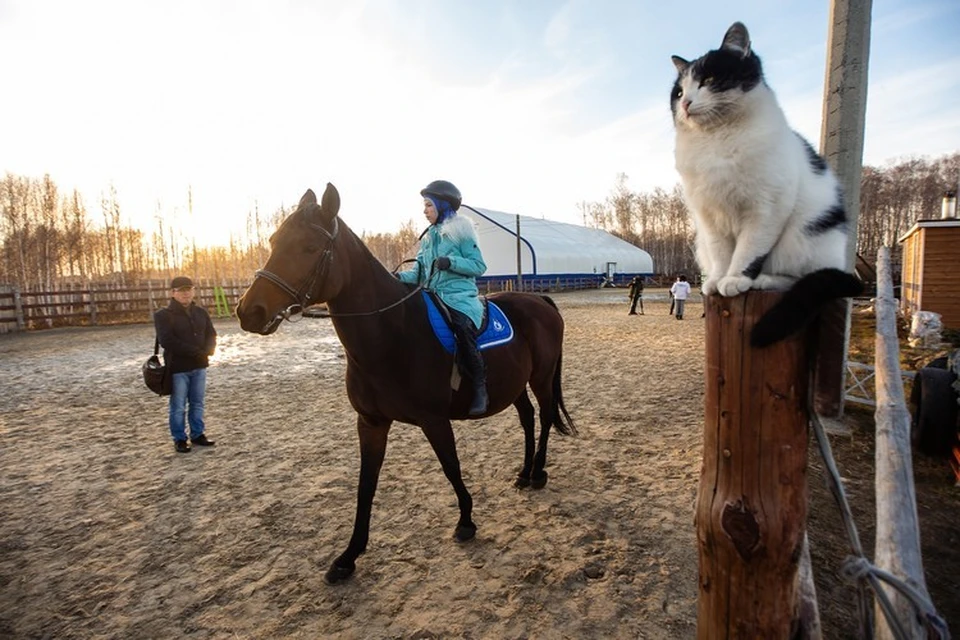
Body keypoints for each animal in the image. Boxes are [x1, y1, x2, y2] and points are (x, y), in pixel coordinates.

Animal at [235, 182, 572, 584]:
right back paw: (523, 473)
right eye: (274, 241)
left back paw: (537, 473)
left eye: (309, 248)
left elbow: (451, 467)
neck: (393, 334)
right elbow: (365, 486)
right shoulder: (371, 422)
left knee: (547, 416)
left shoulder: (434, 420)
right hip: (514, 384)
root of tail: (539, 300)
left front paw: (466, 521)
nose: (248, 311)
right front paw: (348, 557)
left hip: (541, 377)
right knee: (527, 418)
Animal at [668, 22, 864, 348]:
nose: (685, 103)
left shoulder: (766, 208)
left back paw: (761, 281)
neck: (716, 139)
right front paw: (718, 279)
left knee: (795, 277)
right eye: (680, 91)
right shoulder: (708, 215)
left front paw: (735, 279)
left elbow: (748, 250)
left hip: (803, 235)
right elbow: (721, 253)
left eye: (708, 80)